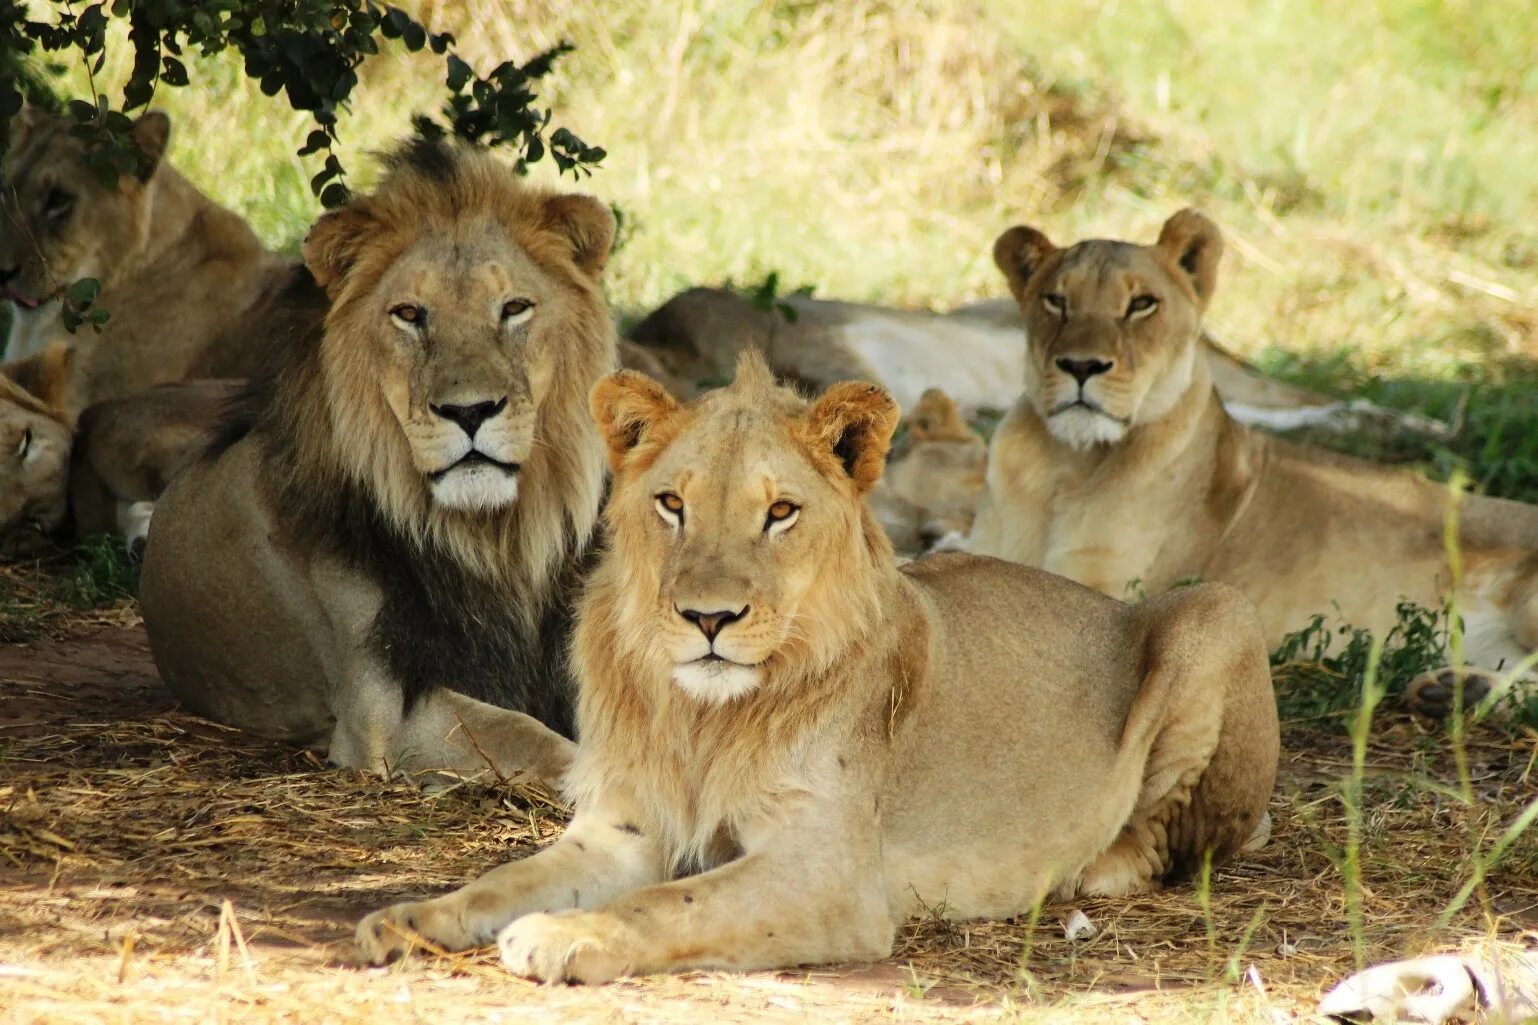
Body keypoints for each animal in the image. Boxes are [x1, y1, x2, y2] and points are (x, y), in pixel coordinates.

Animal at [353, 353, 1279, 984]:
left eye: (781, 512)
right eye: (673, 503)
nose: (709, 619)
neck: (703, 716)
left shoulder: (829, 872)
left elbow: (669, 900)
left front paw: (564, 934)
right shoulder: (624, 828)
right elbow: (503, 877)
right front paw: (407, 917)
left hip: (1219, 609)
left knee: (1183, 837)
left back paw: (1099, 863)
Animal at [972, 210, 1538, 714]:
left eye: (1141, 304)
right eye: (1056, 300)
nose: (1081, 366)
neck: (1064, 462)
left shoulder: (1112, 595)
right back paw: (1454, 690)